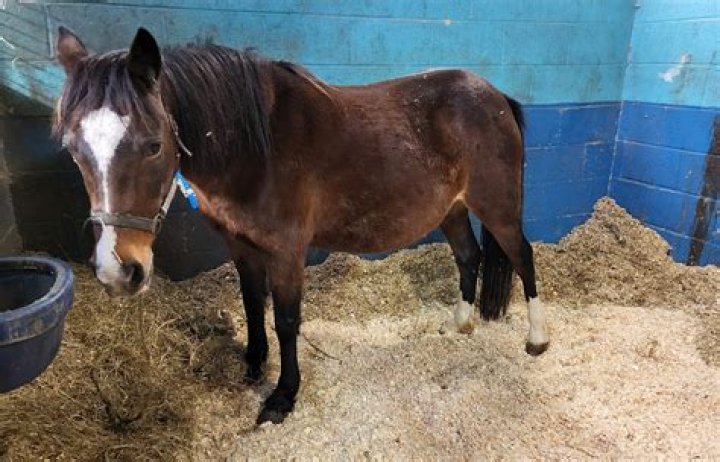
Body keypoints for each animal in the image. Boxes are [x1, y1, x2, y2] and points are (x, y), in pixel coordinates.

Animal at [54, 27, 549, 424]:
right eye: (73, 148)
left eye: (154, 145)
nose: (119, 271)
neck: (256, 150)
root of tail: (495, 96)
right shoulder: (241, 245)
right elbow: (253, 305)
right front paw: (254, 364)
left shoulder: (287, 251)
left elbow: (286, 320)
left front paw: (282, 397)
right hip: (452, 210)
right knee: (468, 256)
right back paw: (458, 325)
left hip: (498, 206)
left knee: (522, 256)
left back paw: (537, 340)